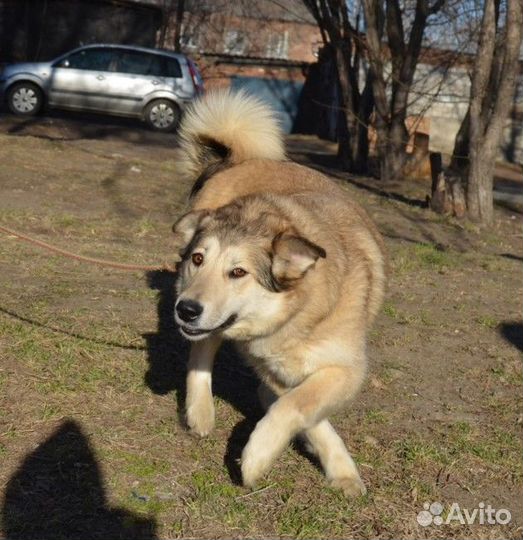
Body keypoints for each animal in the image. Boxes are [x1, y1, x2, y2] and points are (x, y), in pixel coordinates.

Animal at [173, 89, 388, 498]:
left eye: (238, 272)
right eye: (198, 259)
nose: (186, 310)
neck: (297, 316)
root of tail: (241, 161)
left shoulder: (347, 370)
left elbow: (297, 406)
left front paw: (336, 471)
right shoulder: (271, 365)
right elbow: (296, 407)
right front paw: (260, 457)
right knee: (202, 348)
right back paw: (201, 410)